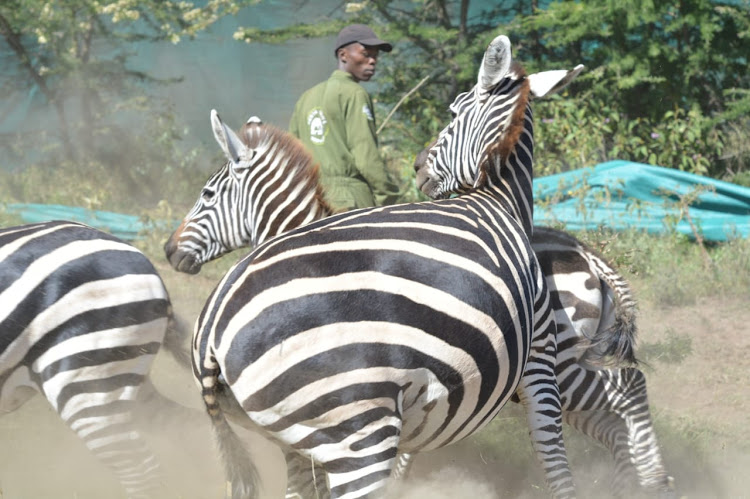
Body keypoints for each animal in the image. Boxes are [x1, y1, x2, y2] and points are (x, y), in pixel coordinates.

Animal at [170, 33, 580, 498]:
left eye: (453, 111)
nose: (168, 250)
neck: (496, 196)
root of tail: (211, 330)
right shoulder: (536, 354)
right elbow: (554, 459)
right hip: (356, 424)